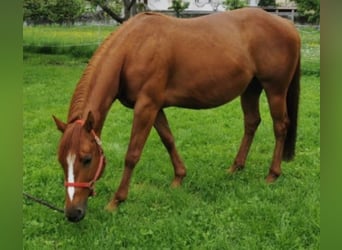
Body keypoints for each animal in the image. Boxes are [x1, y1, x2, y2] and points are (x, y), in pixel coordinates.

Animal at [52, 8, 300, 223]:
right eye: (61, 160)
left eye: (87, 159)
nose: (72, 213)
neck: (133, 48)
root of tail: (287, 24)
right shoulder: (155, 107)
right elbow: (168, 139)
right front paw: (179, 177)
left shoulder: (146, 106)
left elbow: (132, 154)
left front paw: (116, 201)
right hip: (250, 89)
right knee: (251, 123)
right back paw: (235, 168)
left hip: (275, 90)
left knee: (280, 127)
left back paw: (272, 175)